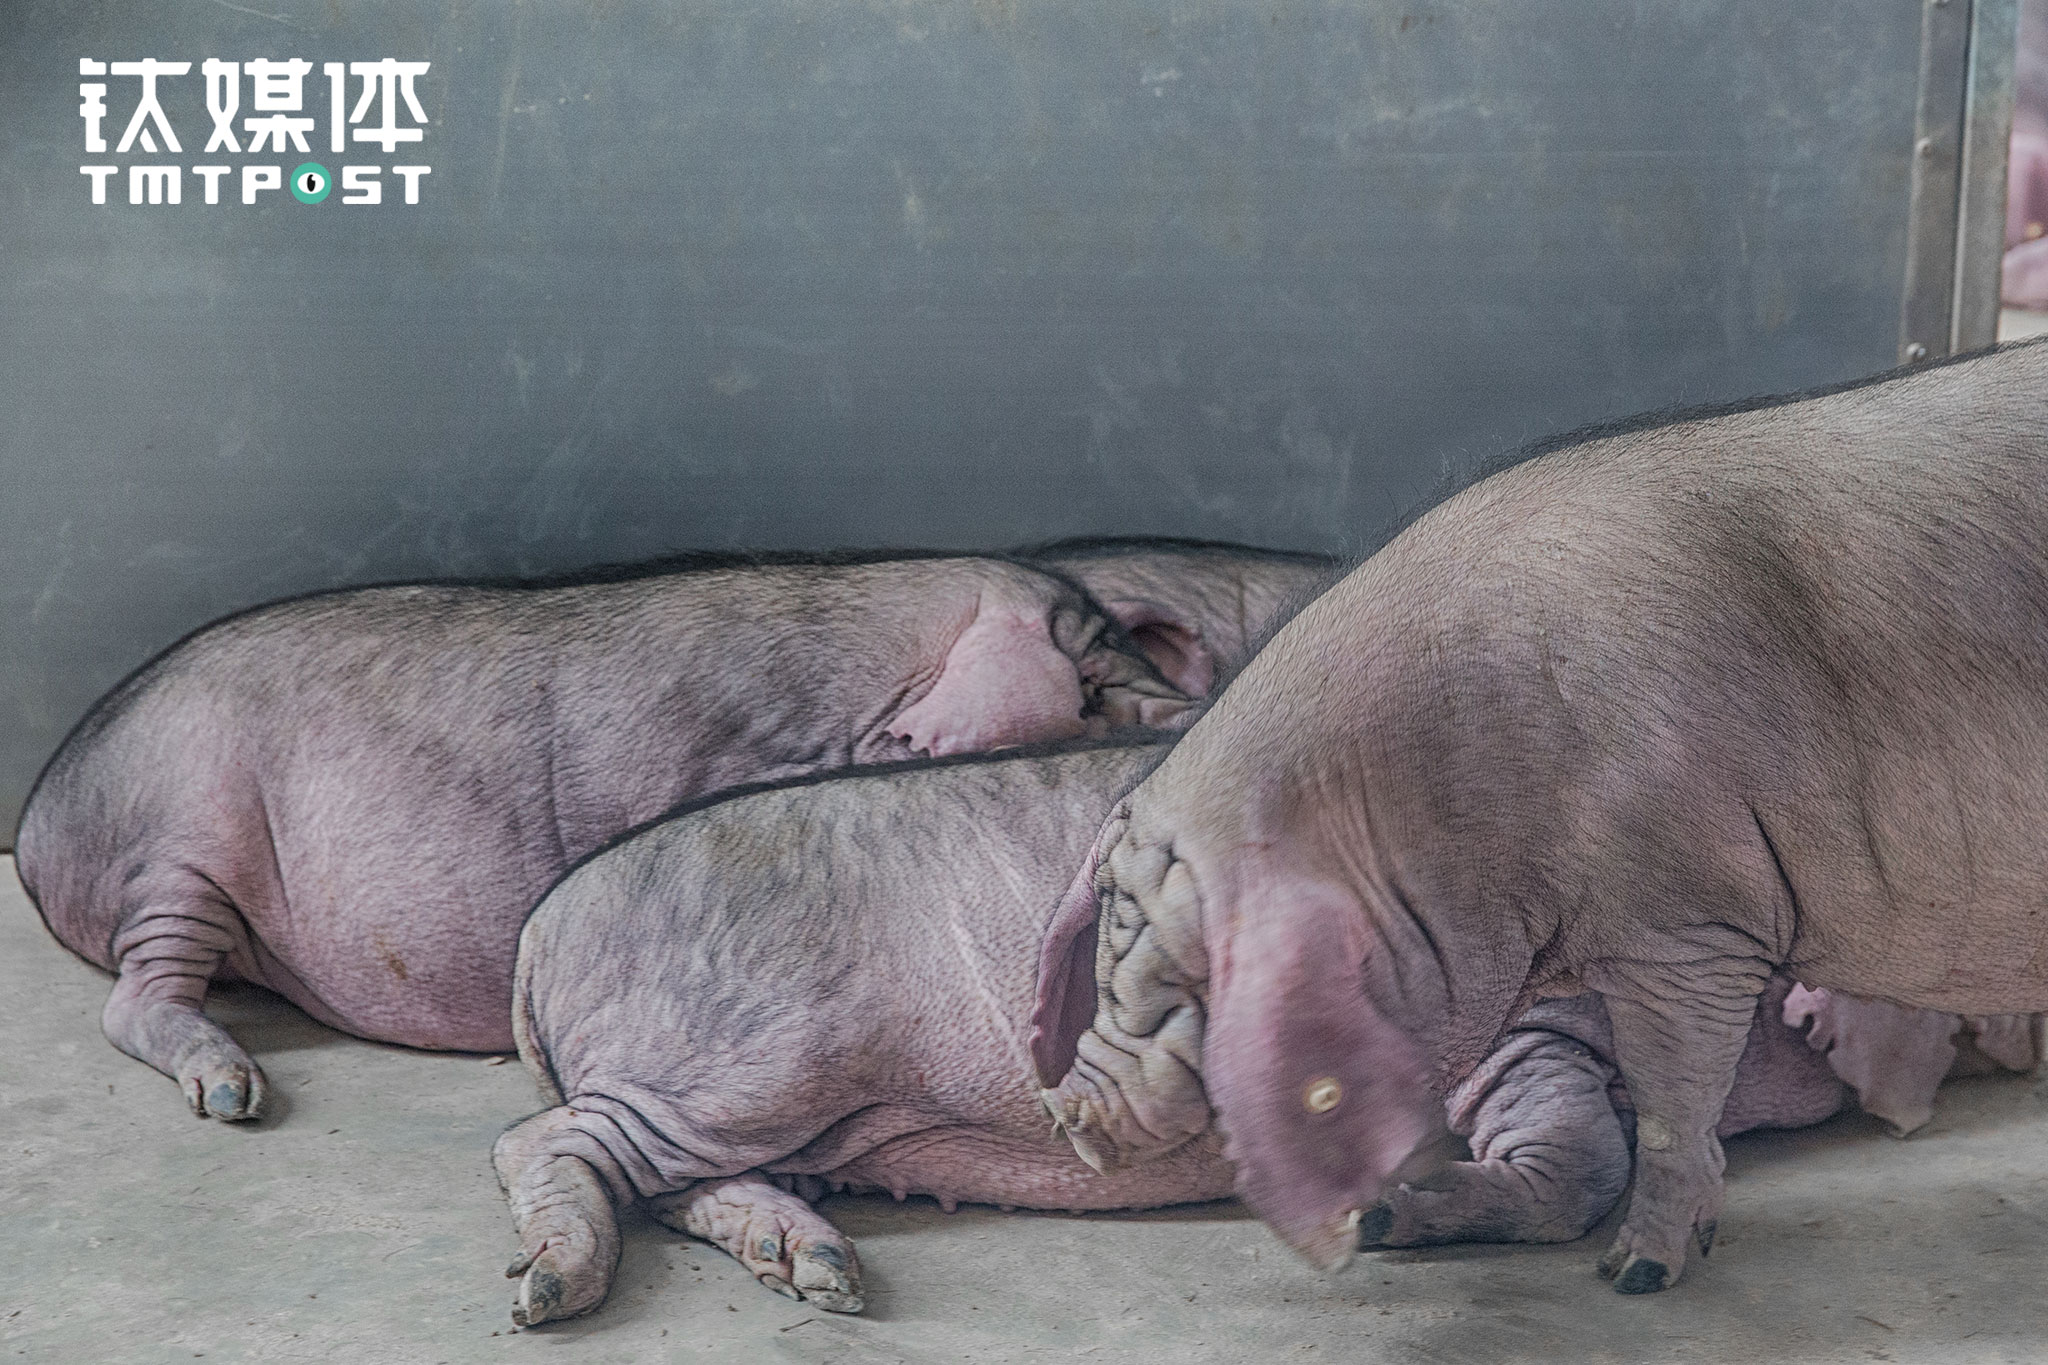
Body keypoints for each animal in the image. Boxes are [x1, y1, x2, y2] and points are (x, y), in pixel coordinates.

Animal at [14, 551, 1189, 1123]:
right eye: (1085, 674)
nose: (1180, 703)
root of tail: (34, 828)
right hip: (176, 852)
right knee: (137, 997)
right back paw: (234, 1096)